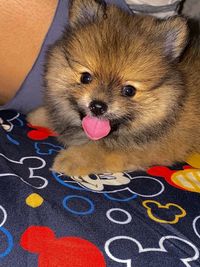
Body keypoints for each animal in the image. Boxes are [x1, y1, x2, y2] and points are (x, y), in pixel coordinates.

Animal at [28, 0, 200, 176]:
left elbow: (101, 149)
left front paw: (71, 159)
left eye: (129, 90)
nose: (97, 106)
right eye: (85, 77)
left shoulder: (148, 146)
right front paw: (38, 115)